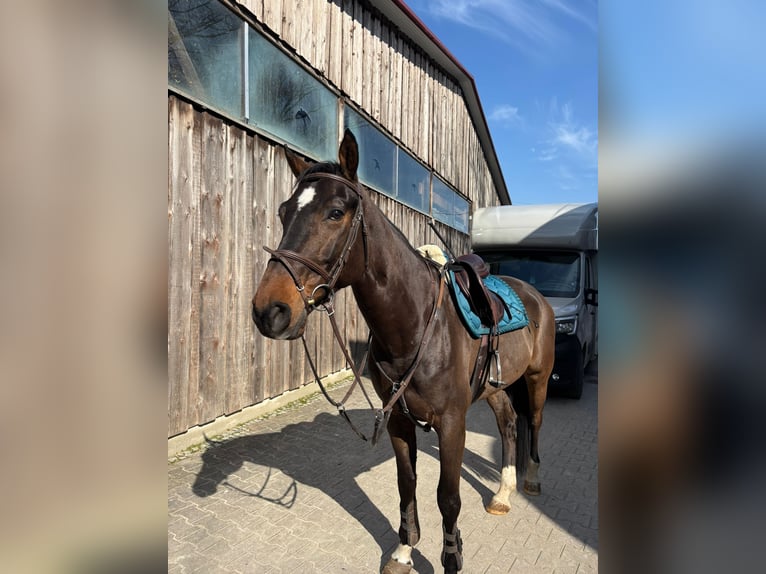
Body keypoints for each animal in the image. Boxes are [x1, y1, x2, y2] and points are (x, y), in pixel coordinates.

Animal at [252, 129, 555, 573]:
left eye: (336, 212)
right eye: (283, 212)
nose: (269, 311)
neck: (414, 327)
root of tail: (537, 297)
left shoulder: (452, 423)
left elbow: (447, 497)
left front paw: (451, 558)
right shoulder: (396, 418)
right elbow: (406, 483)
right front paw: (404, 551)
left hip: (537, 380)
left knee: (533, 421)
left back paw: (531, 478)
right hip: (495, 387)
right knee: (508, 424)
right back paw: (502, 493)